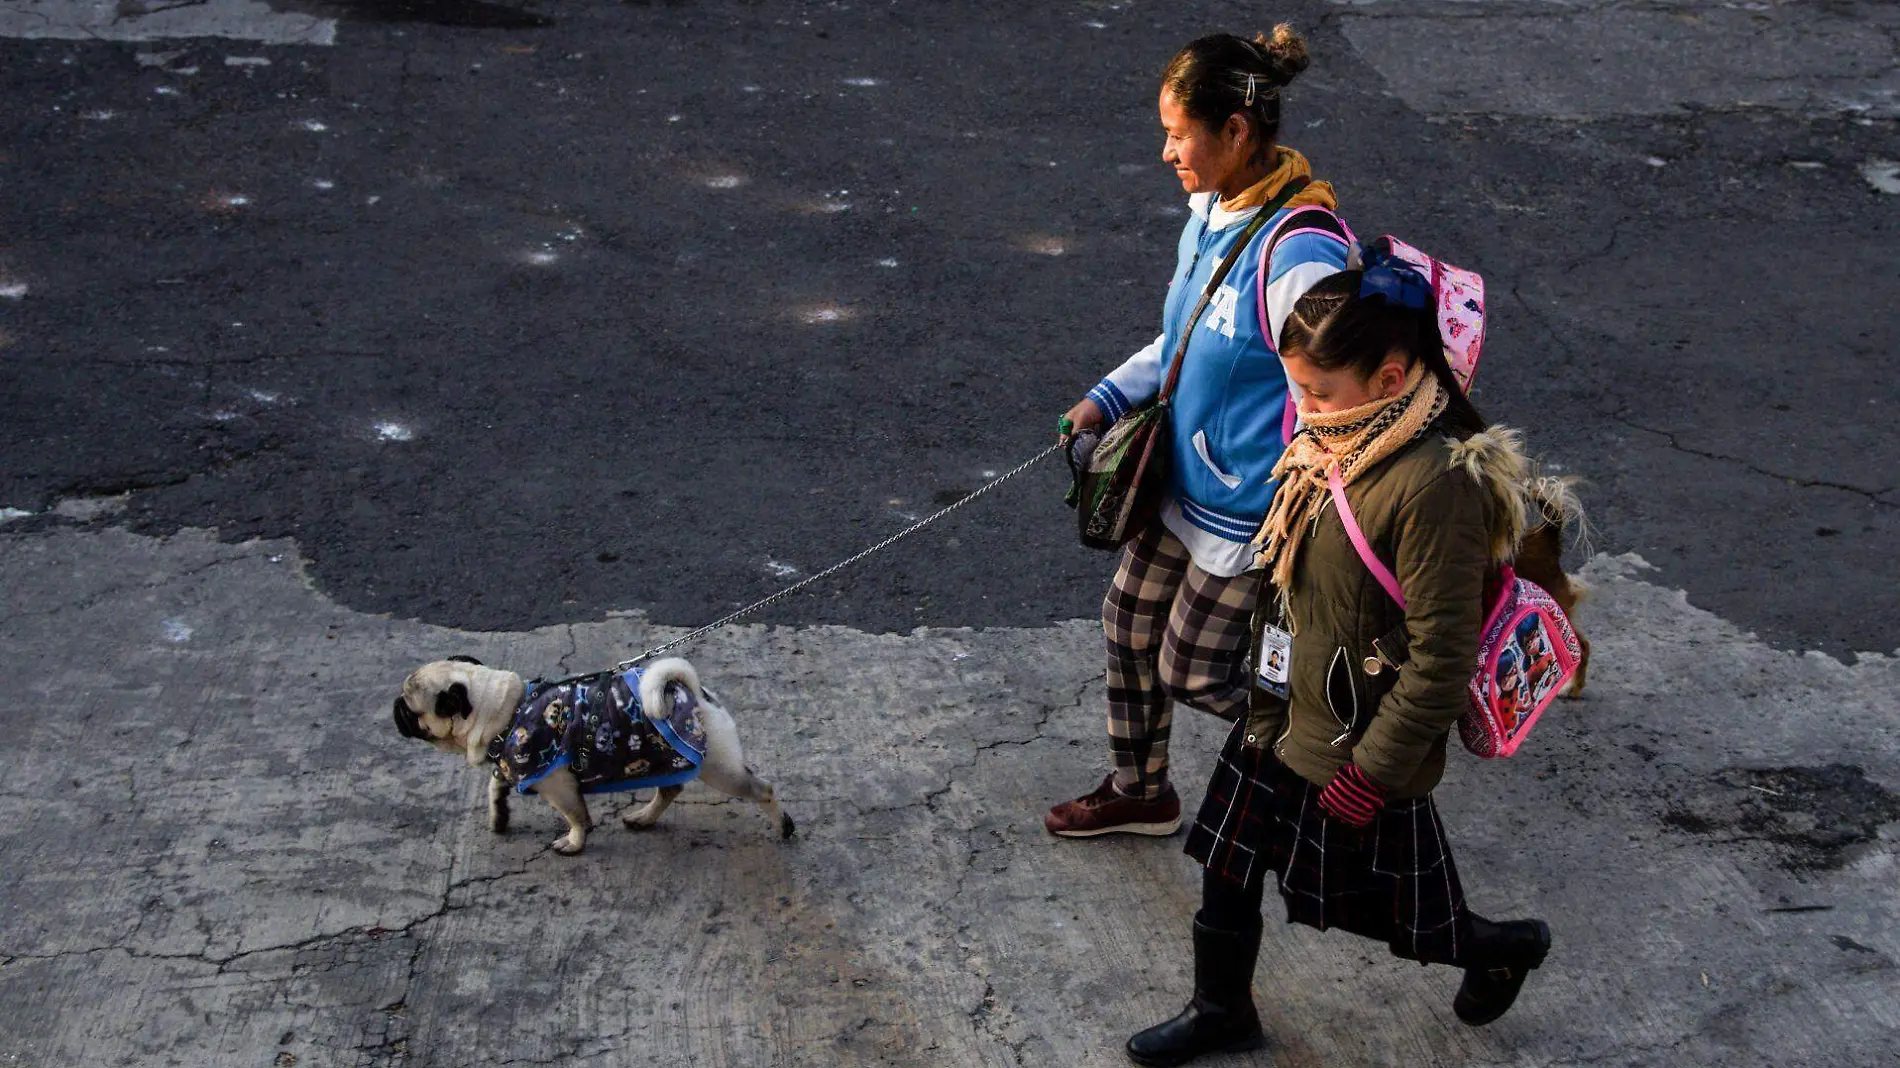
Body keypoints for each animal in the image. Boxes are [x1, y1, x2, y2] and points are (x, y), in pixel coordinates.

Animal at [393, 653, 794, 851]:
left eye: (412, 711)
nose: (394, 706)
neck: (506, 709)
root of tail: (691, 691)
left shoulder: (557, 785)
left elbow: (576, 817)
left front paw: (573, 844)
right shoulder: (512, 764)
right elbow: (496, 785)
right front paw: (499, 816)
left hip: (719, 768)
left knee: (762, 790)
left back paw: (783, 826)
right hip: (666, 757)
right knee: (671, 789)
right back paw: (644, 818)